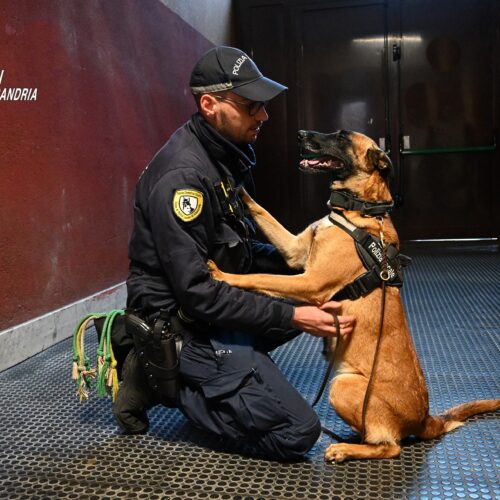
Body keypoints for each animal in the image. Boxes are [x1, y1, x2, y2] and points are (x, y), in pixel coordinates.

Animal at [208, 128, 500, 460]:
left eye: (341, 137)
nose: (301, 134)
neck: (358, 209)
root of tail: (425, 418)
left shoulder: (310, 281)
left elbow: (258, 277)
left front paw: (223, 275)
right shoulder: (295, 253)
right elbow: (262, 210)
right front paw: (239, 190)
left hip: (342, 386)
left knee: (389, 447)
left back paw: (345, 448)